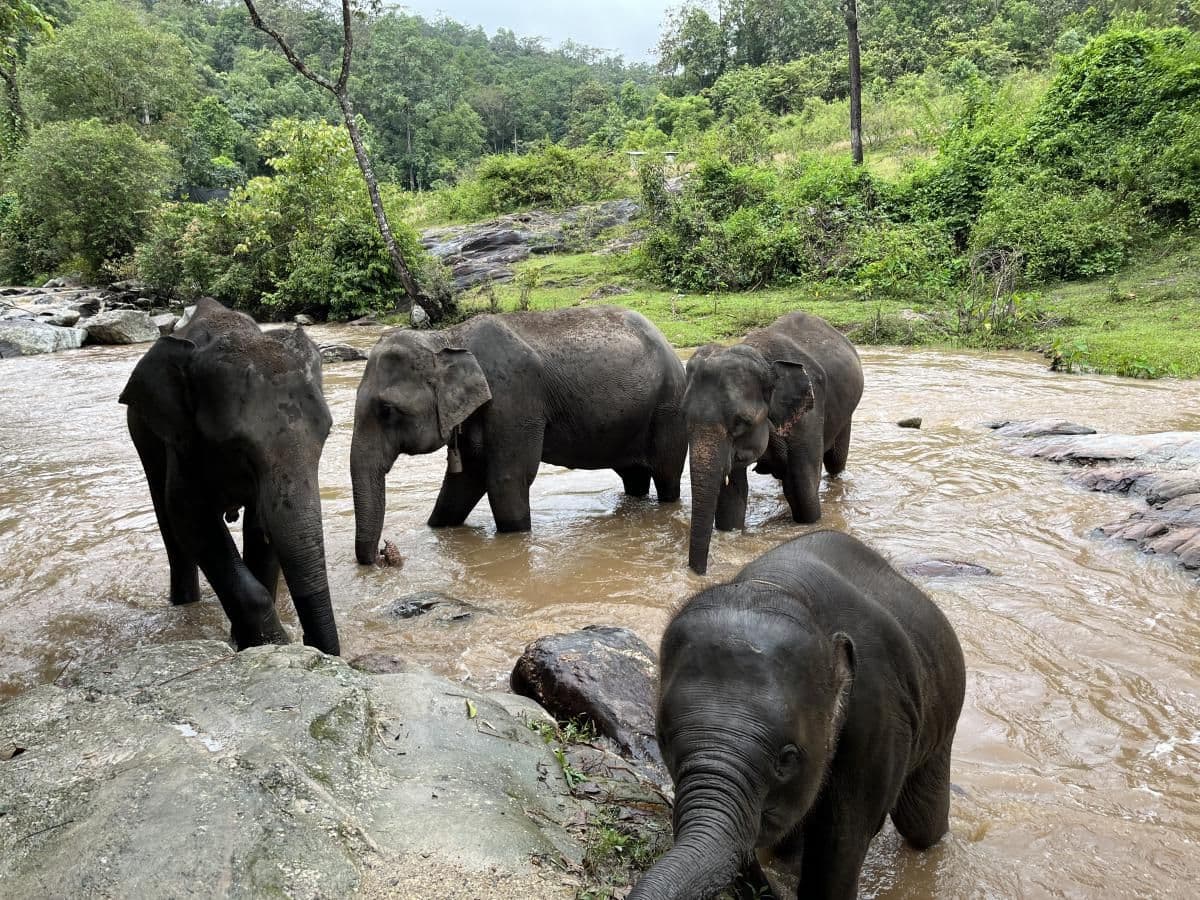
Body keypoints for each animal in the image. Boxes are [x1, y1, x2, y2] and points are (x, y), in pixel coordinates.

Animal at [119, 297, 340, 655]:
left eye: (327, 432)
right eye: (237, 444)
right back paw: (183, 603)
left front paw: (251, 641)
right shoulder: (184, 442)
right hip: (143, 429)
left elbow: (260, 530)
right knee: (167, 520)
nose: (312, 643)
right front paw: (271, 643)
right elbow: (190, 519)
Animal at [351, 305, 687, 563]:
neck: (449, 337)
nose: (383, 555)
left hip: (668, 408)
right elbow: (463, 483)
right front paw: (437, 528)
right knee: (634, 476)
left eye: (387, 410)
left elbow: (506, 480)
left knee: (667, 474)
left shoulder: (514, 399)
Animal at [631, 530, 966, 900]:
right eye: (663, 740)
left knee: (921, 824)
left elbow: (842, 840)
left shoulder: (878, 714)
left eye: (788, 757)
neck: (780, 588)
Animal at [684, 311, 863, 574]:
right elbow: (732, 497)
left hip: (845, 413)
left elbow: (802, 492)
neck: (762, 357)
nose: (699, 574)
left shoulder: (808, 420)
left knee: (835, 461)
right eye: (683, 418)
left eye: (741, 422)